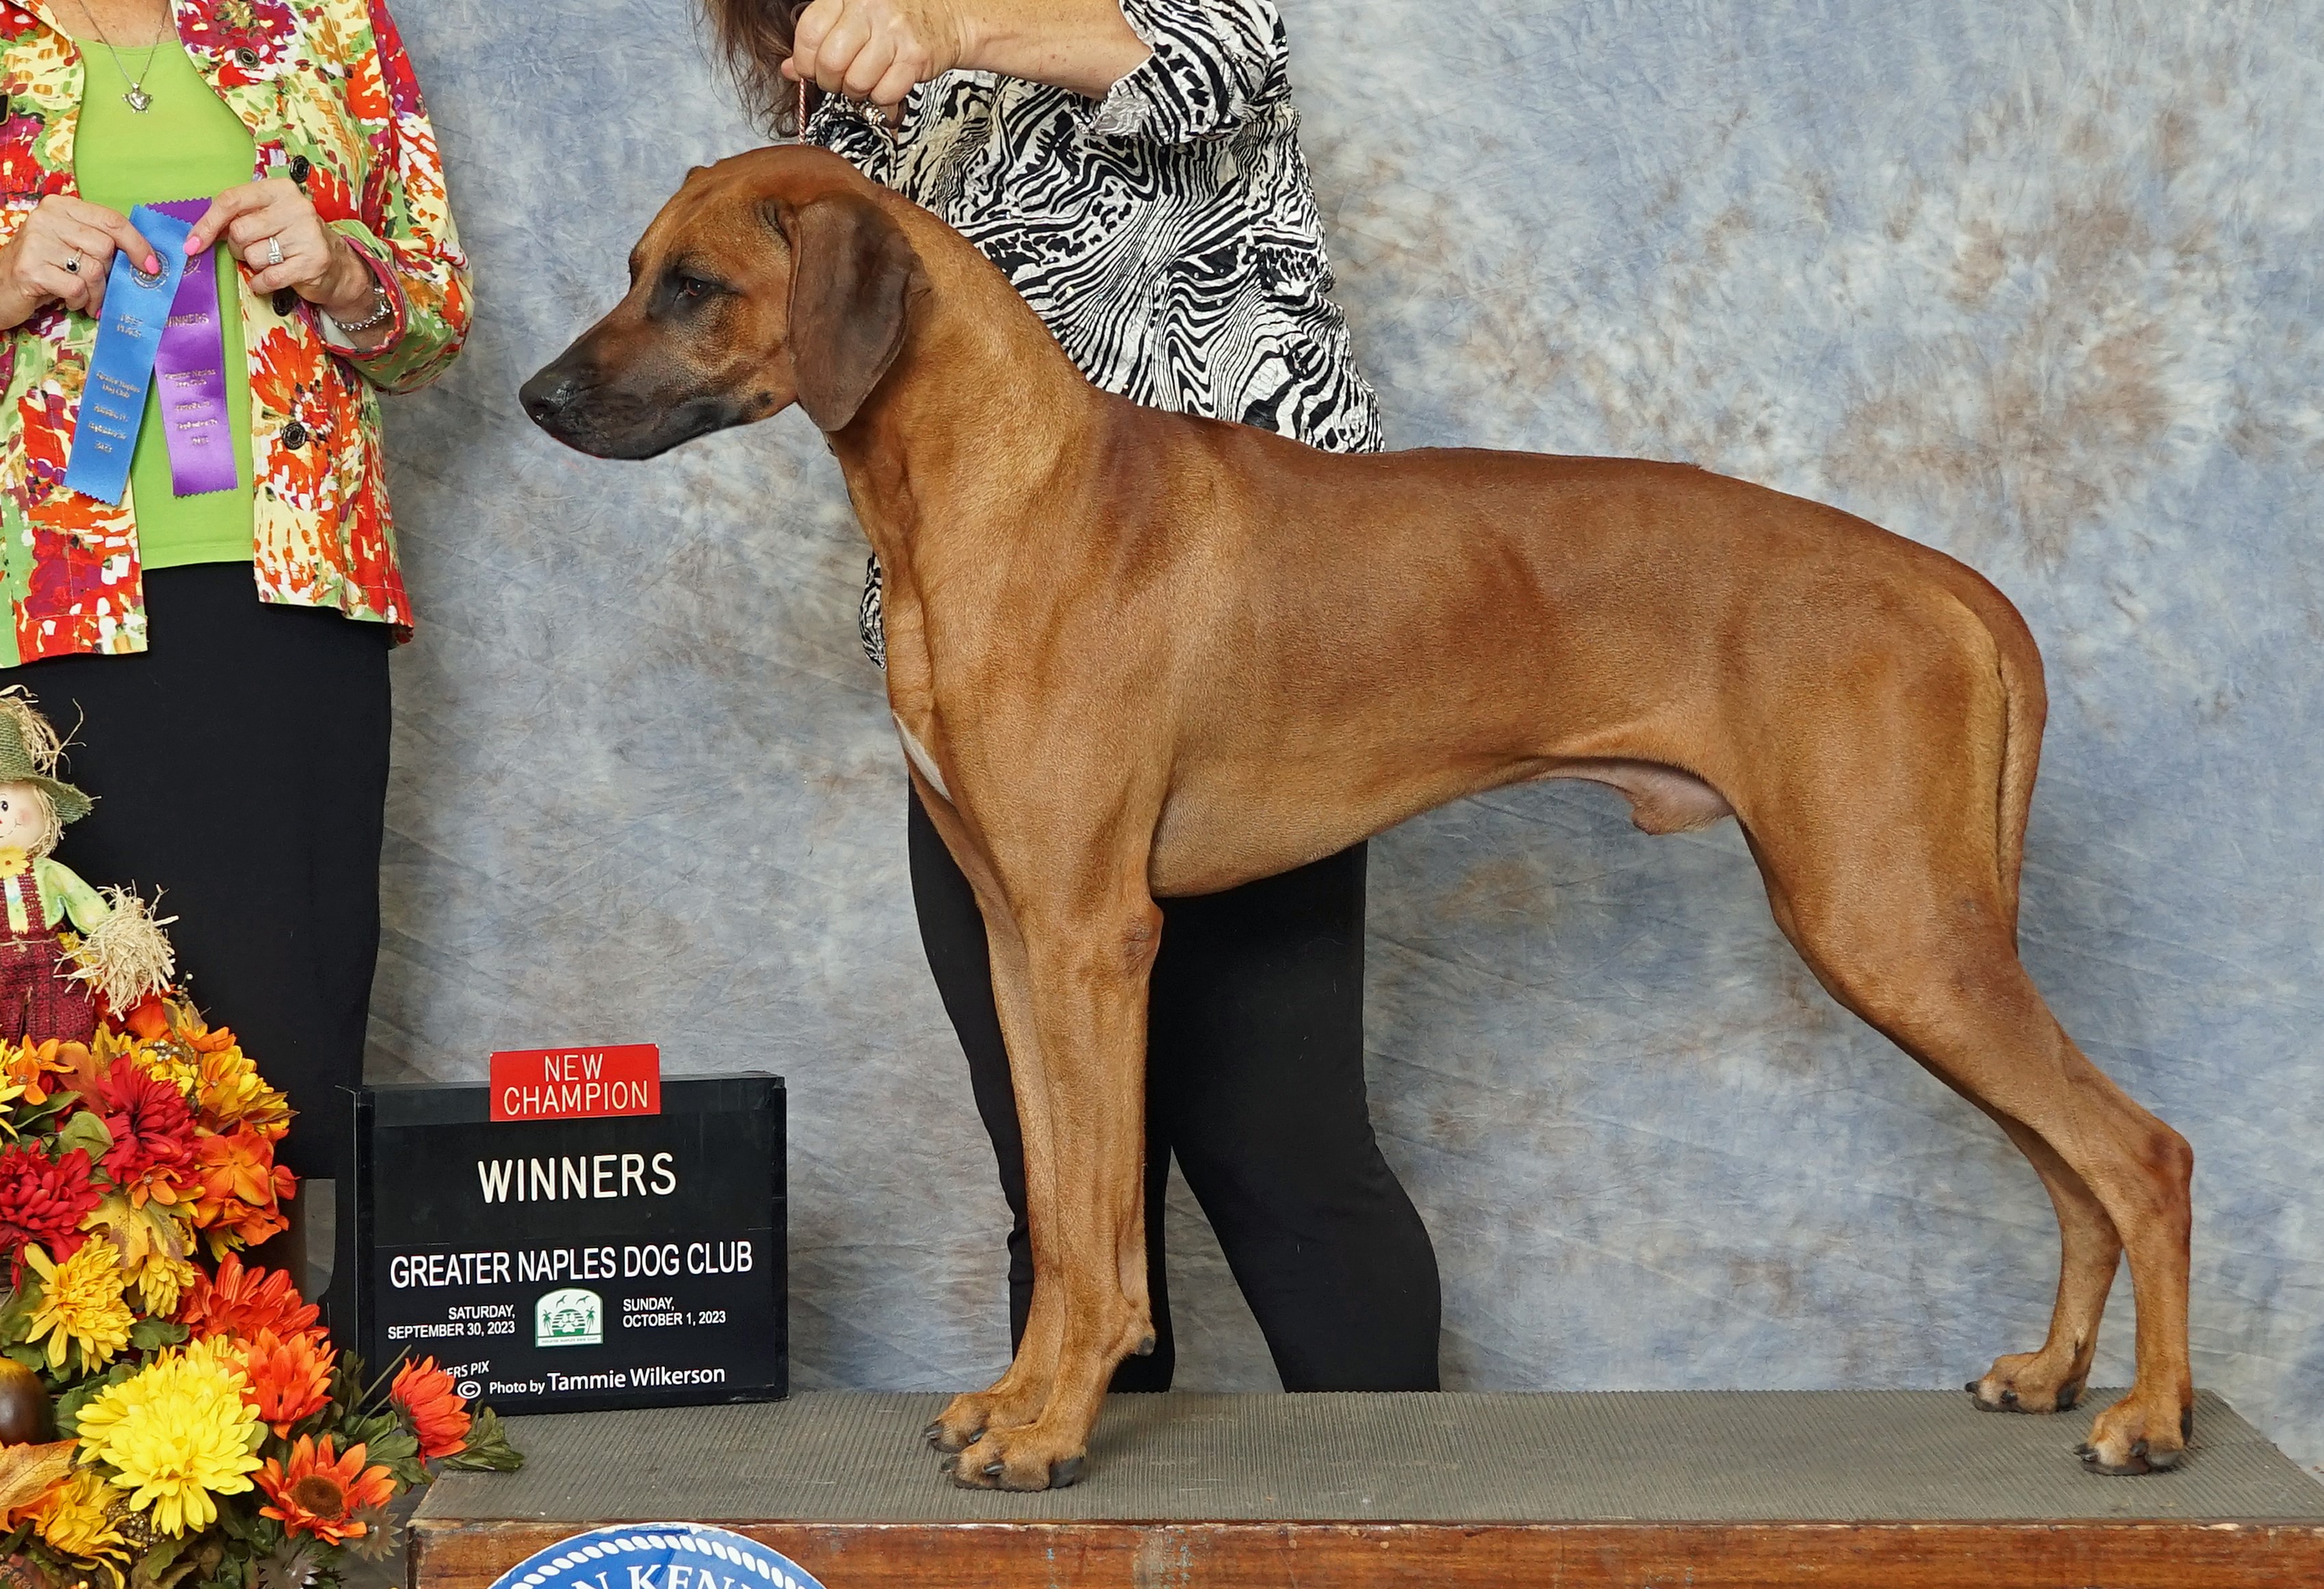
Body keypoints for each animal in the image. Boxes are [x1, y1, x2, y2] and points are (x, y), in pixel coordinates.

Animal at [523, 146, 2193, 1486]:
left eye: (692, 285)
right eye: (630, 269)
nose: (535, 398)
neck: (1004, 489)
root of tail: (1942, 577)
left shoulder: (1094, 939)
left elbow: (1102, 1228)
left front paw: (1055, 1428)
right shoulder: (1015, 939)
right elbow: (1058, 1212)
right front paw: (1016, 1401)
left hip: (1886, 923)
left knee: (2141, 1154)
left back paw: (2152, 1418)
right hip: (1920, 939)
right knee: (2074, 1168)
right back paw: (2052, 1374)